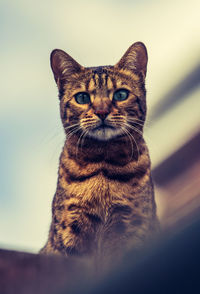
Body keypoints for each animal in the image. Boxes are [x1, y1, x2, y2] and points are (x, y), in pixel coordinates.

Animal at [40, 41, 159, 268]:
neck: (103, 166)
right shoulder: (70, 230)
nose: (102, 112)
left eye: (121, 94)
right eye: (82, 97)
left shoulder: (130, 227)